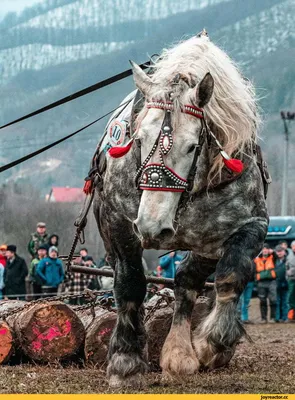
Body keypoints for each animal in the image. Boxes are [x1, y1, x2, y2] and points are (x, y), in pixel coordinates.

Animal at [91, 32, 272, 386]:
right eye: (139, 139)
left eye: (192, 146)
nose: (152, 226)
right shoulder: (118, 222)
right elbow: (130, 283)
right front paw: (126, 360)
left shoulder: (252, 225)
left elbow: (231, 276)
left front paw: (212, 343)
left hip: (205, 244)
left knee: (187, 280)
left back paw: (179, 352)